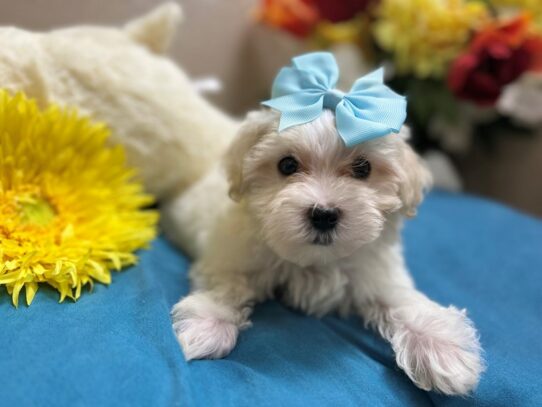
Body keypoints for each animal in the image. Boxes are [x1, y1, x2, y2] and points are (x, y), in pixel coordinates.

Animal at [166, 110, 484, 396]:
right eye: (287, 165)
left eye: (363, 168)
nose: (324, 215)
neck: (317, 260)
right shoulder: (230, 256)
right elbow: (228, 285)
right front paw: (208, 325)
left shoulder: (375, 274)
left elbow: (402, 300)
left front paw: (440, 347)